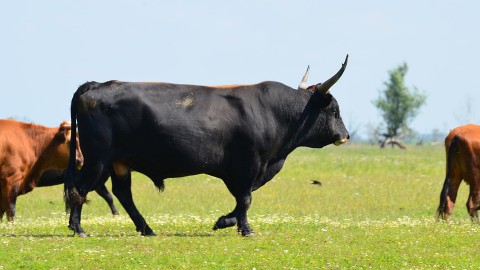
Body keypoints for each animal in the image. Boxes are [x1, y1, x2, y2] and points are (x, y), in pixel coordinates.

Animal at [64, 55, 348, 236]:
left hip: (118, 163)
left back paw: (146, 229)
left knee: (122, 193)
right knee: (81, 187)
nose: (345, 135)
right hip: (98, 159)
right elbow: (245, 198)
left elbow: (241, 199)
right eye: (334, 110)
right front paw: (245, 229)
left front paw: (224, 221)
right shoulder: (248, 164)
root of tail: (97, 85)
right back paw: (78, 228)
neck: (273, 112)